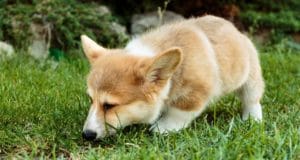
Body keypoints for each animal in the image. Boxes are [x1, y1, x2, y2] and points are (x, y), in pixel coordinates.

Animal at [81, 15, 264, 140]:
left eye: (109, 105)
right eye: (91, 99)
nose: (87, 135)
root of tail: (233, 28)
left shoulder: (196, 92)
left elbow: (179, 112)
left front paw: (163, 128)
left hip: (250, 76)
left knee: (252, 99)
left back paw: (252, 118)